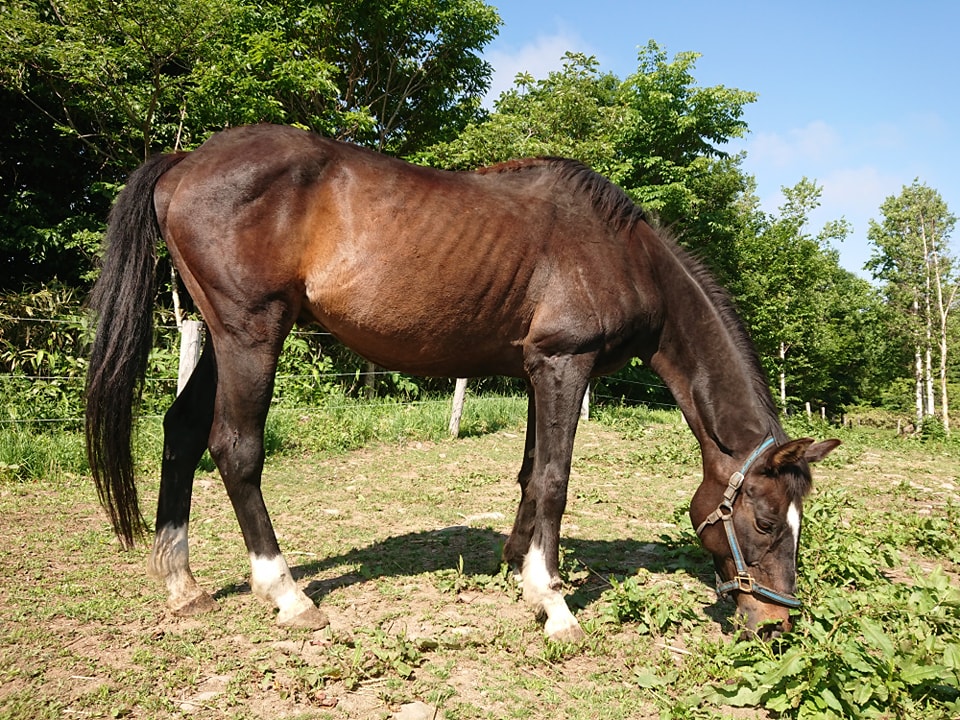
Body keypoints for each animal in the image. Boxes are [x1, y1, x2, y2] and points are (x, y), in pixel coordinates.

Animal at [84, 124, 840, 640]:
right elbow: (555, 479)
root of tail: (185, 162)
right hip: (250, 333)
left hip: (223, 338)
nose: (776, 622)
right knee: (236, 448)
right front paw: (554, 601)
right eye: (765, 519)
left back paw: (182, 583)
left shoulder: (539, 369)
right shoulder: (564, 364)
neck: (625, 254)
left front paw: (518, 565)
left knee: (181, 431)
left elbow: (531, 472)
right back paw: (287, 594)